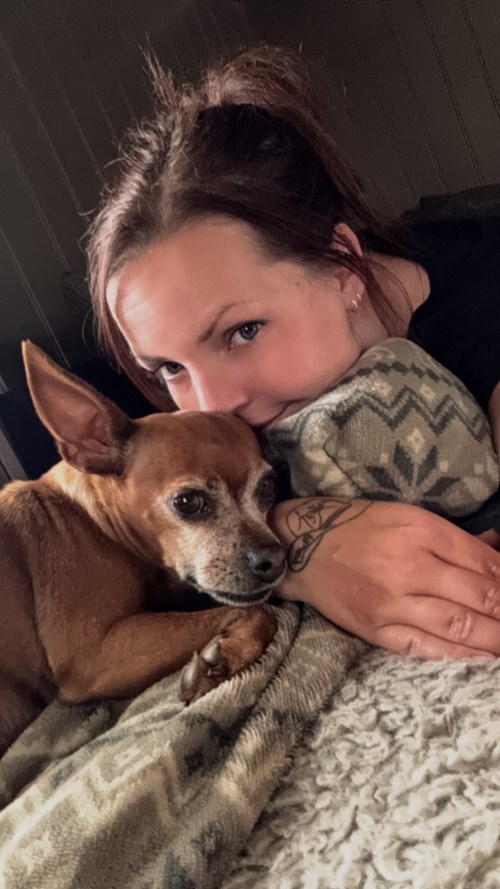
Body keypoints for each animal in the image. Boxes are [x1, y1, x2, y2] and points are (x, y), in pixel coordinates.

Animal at [0, 342, 283, 756]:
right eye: (188, 502)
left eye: (267, 487)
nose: (276, 560)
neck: (94, 524)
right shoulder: (93, 654)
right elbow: (261, 611)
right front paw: (224, 661)